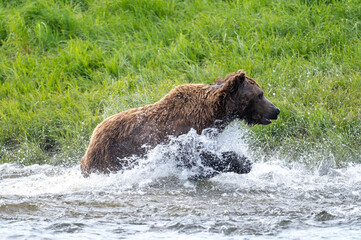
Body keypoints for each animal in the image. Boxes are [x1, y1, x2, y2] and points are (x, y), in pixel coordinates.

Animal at [81, 69, 278, 176]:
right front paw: (242, 162)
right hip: (110, 155)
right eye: (260, 94)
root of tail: (92, 139)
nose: (276, 110)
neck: (212, 113)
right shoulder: (180, 134)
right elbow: (195, 156)